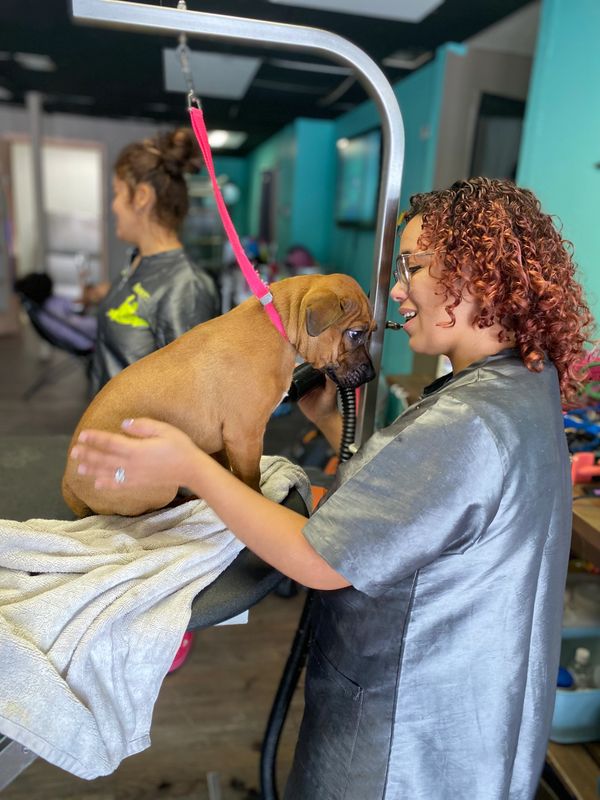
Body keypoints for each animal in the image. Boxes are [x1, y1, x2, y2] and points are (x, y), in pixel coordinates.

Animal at [63, 272, 378, 516]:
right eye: (355, 334)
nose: (372, 374)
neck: (277, 320)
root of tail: (68, 483)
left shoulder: (224, 438)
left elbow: (227, 468)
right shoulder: (245, 435)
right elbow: (251, 477)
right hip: (154, 482)